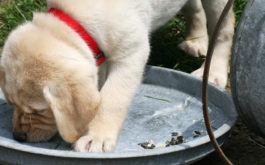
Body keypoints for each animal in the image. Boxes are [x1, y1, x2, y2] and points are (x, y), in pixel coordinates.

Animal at [0, 0, 233, 152]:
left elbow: (111, 99)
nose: (18, 137)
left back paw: (214, 71)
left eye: (37, 110)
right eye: (11, 104)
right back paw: (196, 40)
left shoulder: (131, 53)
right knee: (195, 7)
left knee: (224, 27)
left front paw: (96, 137)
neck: (76, 21)